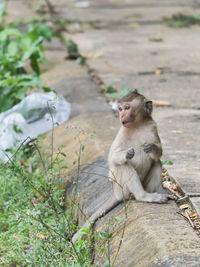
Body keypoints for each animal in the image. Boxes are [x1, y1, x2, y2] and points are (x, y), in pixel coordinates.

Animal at [71, 91, 169, 244]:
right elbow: (113, 159)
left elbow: (158, 153)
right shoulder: (122, 131)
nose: (121, 115)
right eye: (120, 108)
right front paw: (126, 154)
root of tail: (116, 193)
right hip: (121, 188)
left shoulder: (152, 127)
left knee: (157, 162)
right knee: (124, 166)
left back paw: (149, 194)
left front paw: (151, 147)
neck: (138, 125)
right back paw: (143, 196)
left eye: (127, 107)